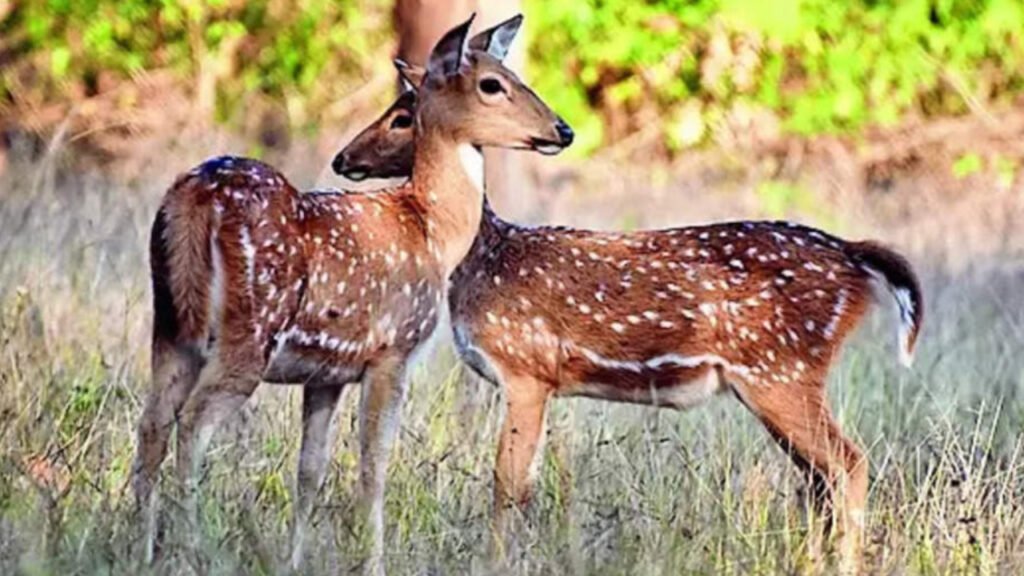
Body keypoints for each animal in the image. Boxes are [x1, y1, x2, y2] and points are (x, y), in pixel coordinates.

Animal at [131, 13, 573, 569]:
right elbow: (373, 464)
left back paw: (137, 545)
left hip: (170, 325)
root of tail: (197, 197)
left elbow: (310, 470)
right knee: (192, 423)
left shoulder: (327, 371)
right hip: (250, 328)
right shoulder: (393, 350)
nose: (563, 129)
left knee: (152, 422)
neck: (432, 230)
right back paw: (190, 550)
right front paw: (372, 559)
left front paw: (296, 560)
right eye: (493, 84)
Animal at [333, 77, 921, 573]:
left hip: (782, 368)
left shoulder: (527, 367)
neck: (484, 260)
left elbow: (507, 483)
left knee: (849, 464)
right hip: (782, 378)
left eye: (403, 117)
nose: (342, 158)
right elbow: (526, 485)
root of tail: (853, 256)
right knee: (818, 479)